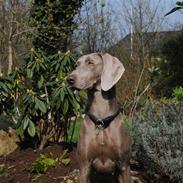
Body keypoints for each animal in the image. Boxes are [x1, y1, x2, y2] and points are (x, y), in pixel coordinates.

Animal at [68, 52, 131, 182]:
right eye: (77, 65)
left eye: (90, 63)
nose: (69, 79)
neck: (101, 122)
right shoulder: (84, 166)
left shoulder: (124, 166)